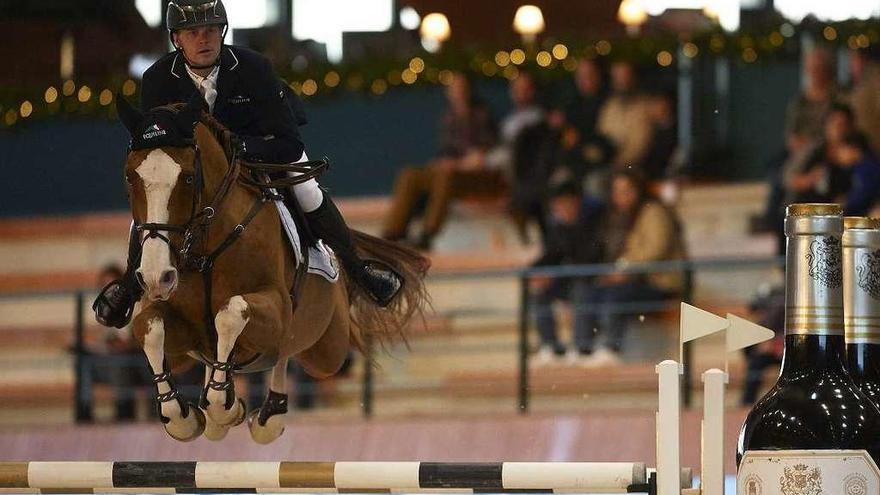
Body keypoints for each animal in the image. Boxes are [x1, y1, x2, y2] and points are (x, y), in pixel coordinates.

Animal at [113, 95, 430, 444]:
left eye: (188, 178)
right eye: (129, 177)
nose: (157, 276)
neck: (205, 248)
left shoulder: (275, 308)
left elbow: (230, 313)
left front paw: (223, 405)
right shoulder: (183, 340)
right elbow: (149, 327)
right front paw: (182, 417)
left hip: (327, 349)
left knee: (290, 351)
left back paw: (267, 415)